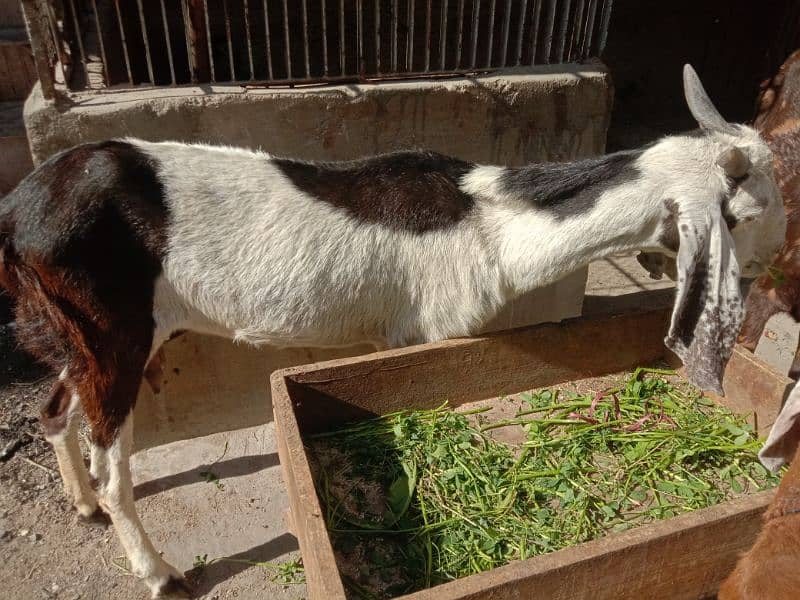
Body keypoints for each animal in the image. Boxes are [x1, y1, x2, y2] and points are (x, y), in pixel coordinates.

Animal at [0, 67, 788, 596]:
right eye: (747, 213)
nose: (777, 262)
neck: (491, 223)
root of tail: (18, 210)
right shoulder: (424, 330)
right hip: (115, 331)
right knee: (113, 464)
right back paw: (157, 569)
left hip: (81, 331)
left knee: (54, 408)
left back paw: (79, 504)